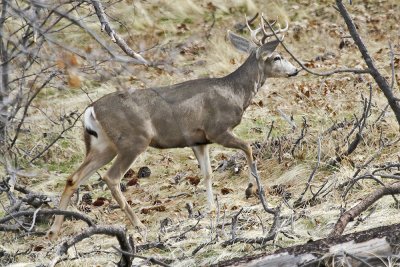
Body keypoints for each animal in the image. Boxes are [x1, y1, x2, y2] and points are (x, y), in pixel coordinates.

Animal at [47, 14, 298, 241]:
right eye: (277, 57)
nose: (295, 70)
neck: (235, 92)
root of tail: (91, 109)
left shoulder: (198, 140)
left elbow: (207, 173)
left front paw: (211, 209)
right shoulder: (217, 129)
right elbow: (248, 148)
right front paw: (254, 189)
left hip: (102, 145)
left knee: (73, 178)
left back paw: (54, 231)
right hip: (134, 140)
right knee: (111, 178)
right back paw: (138, 225)